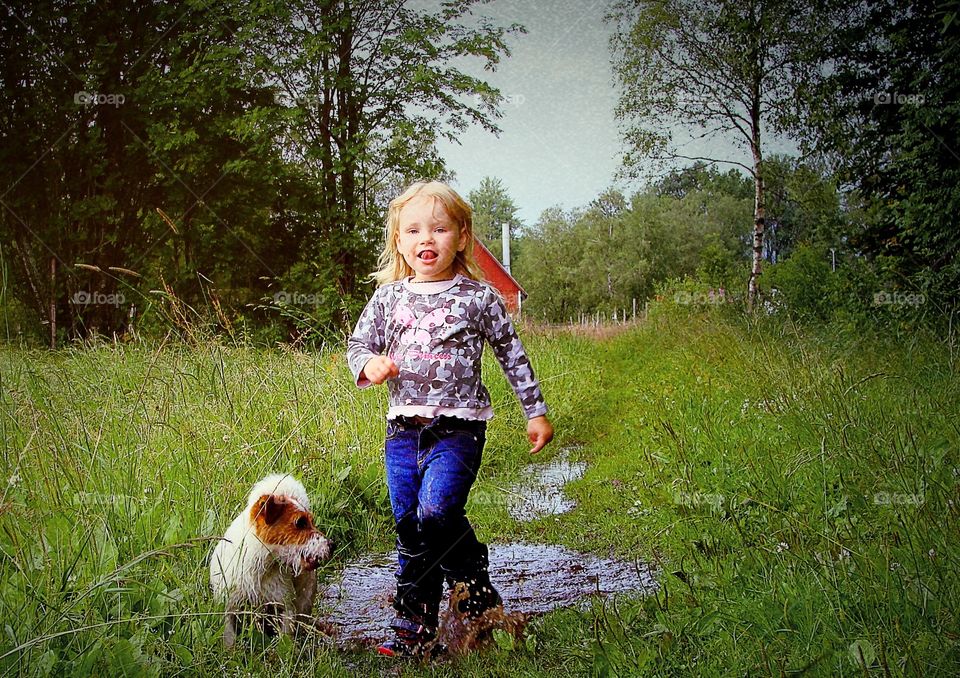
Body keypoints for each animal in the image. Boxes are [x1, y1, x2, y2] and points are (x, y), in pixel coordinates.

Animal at [210, 476, 334, 644]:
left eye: (312, 522)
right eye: (300, 522)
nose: (332, 545)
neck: (261, 567)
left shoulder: (286, 608)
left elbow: (285, 639)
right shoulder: (230, 608)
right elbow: (229, 638)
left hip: (304, 601)